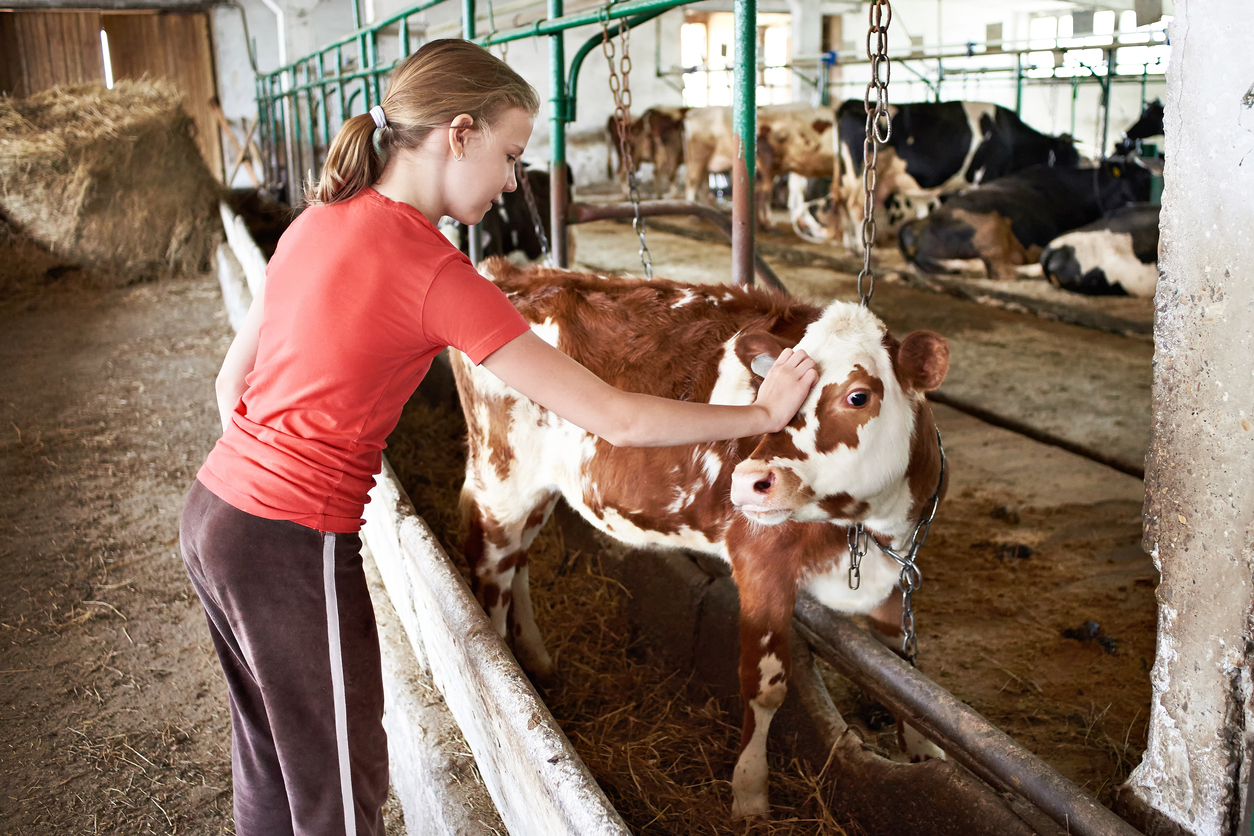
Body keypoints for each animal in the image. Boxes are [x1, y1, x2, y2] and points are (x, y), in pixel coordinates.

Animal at [453, 258, 948, 822]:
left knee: (519, 562)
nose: (749, 480)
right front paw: (750, 795)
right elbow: (766, 686)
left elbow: (906, 672)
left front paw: (923, 749)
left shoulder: (896, 571)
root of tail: (516, 272)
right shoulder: (760, 562)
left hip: (539, 488)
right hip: (501, 479)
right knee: (491, 572)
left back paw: (534, 657)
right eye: (781, 386)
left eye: (858, 395)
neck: (867, 526)